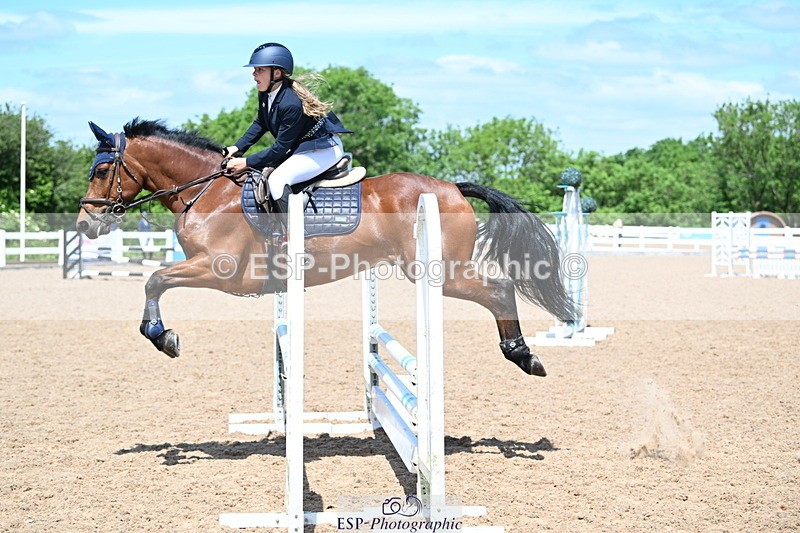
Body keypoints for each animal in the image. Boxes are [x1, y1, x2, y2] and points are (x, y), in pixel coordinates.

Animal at [76, 118, 575, 376]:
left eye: (100, 171)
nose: (84, 223)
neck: (207, 191)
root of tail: (452, 187)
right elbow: (156, 280)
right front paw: (160, 334)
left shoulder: (218, 268)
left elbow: (155, 279)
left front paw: (162, 337)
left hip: (442, 272)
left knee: (499, 289)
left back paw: (523, 355)